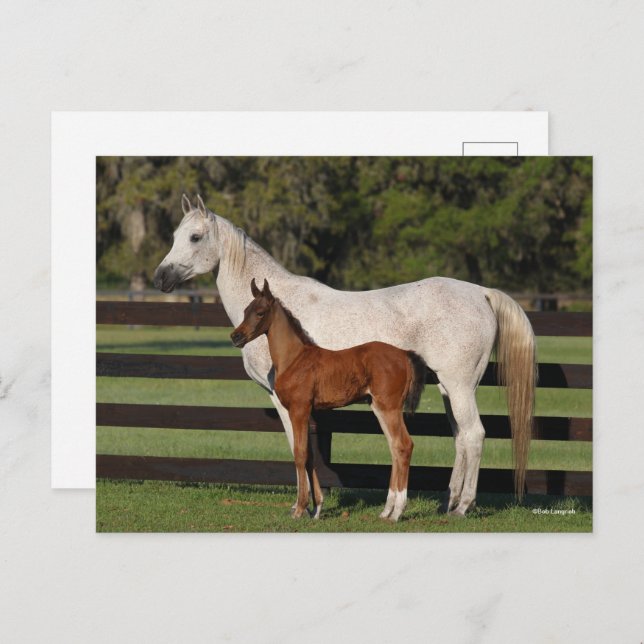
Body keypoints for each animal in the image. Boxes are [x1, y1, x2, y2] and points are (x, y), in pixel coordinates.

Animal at [230, 278, 427, 521]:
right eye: (245, 310)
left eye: (259, 312)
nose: (235, 337)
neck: (294, 358)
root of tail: (404, 354)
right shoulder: (305, 412)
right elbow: (310, 455)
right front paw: (316, 508)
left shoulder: (298, 409)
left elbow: (300, 454)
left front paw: (300, 508)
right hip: (380, 407)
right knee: (394, 447)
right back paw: (386, 510)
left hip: (389, 407)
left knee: (403, 445)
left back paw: (397, 512)